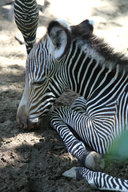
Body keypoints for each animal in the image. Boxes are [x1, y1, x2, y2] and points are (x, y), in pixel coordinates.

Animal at [16, 17, 128, 190]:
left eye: (38, 82)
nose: (20, 121)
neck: (107, 87)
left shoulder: (106, 135)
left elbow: (58, 111)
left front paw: (85, 155)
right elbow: (76, 105)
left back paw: (79, 171)